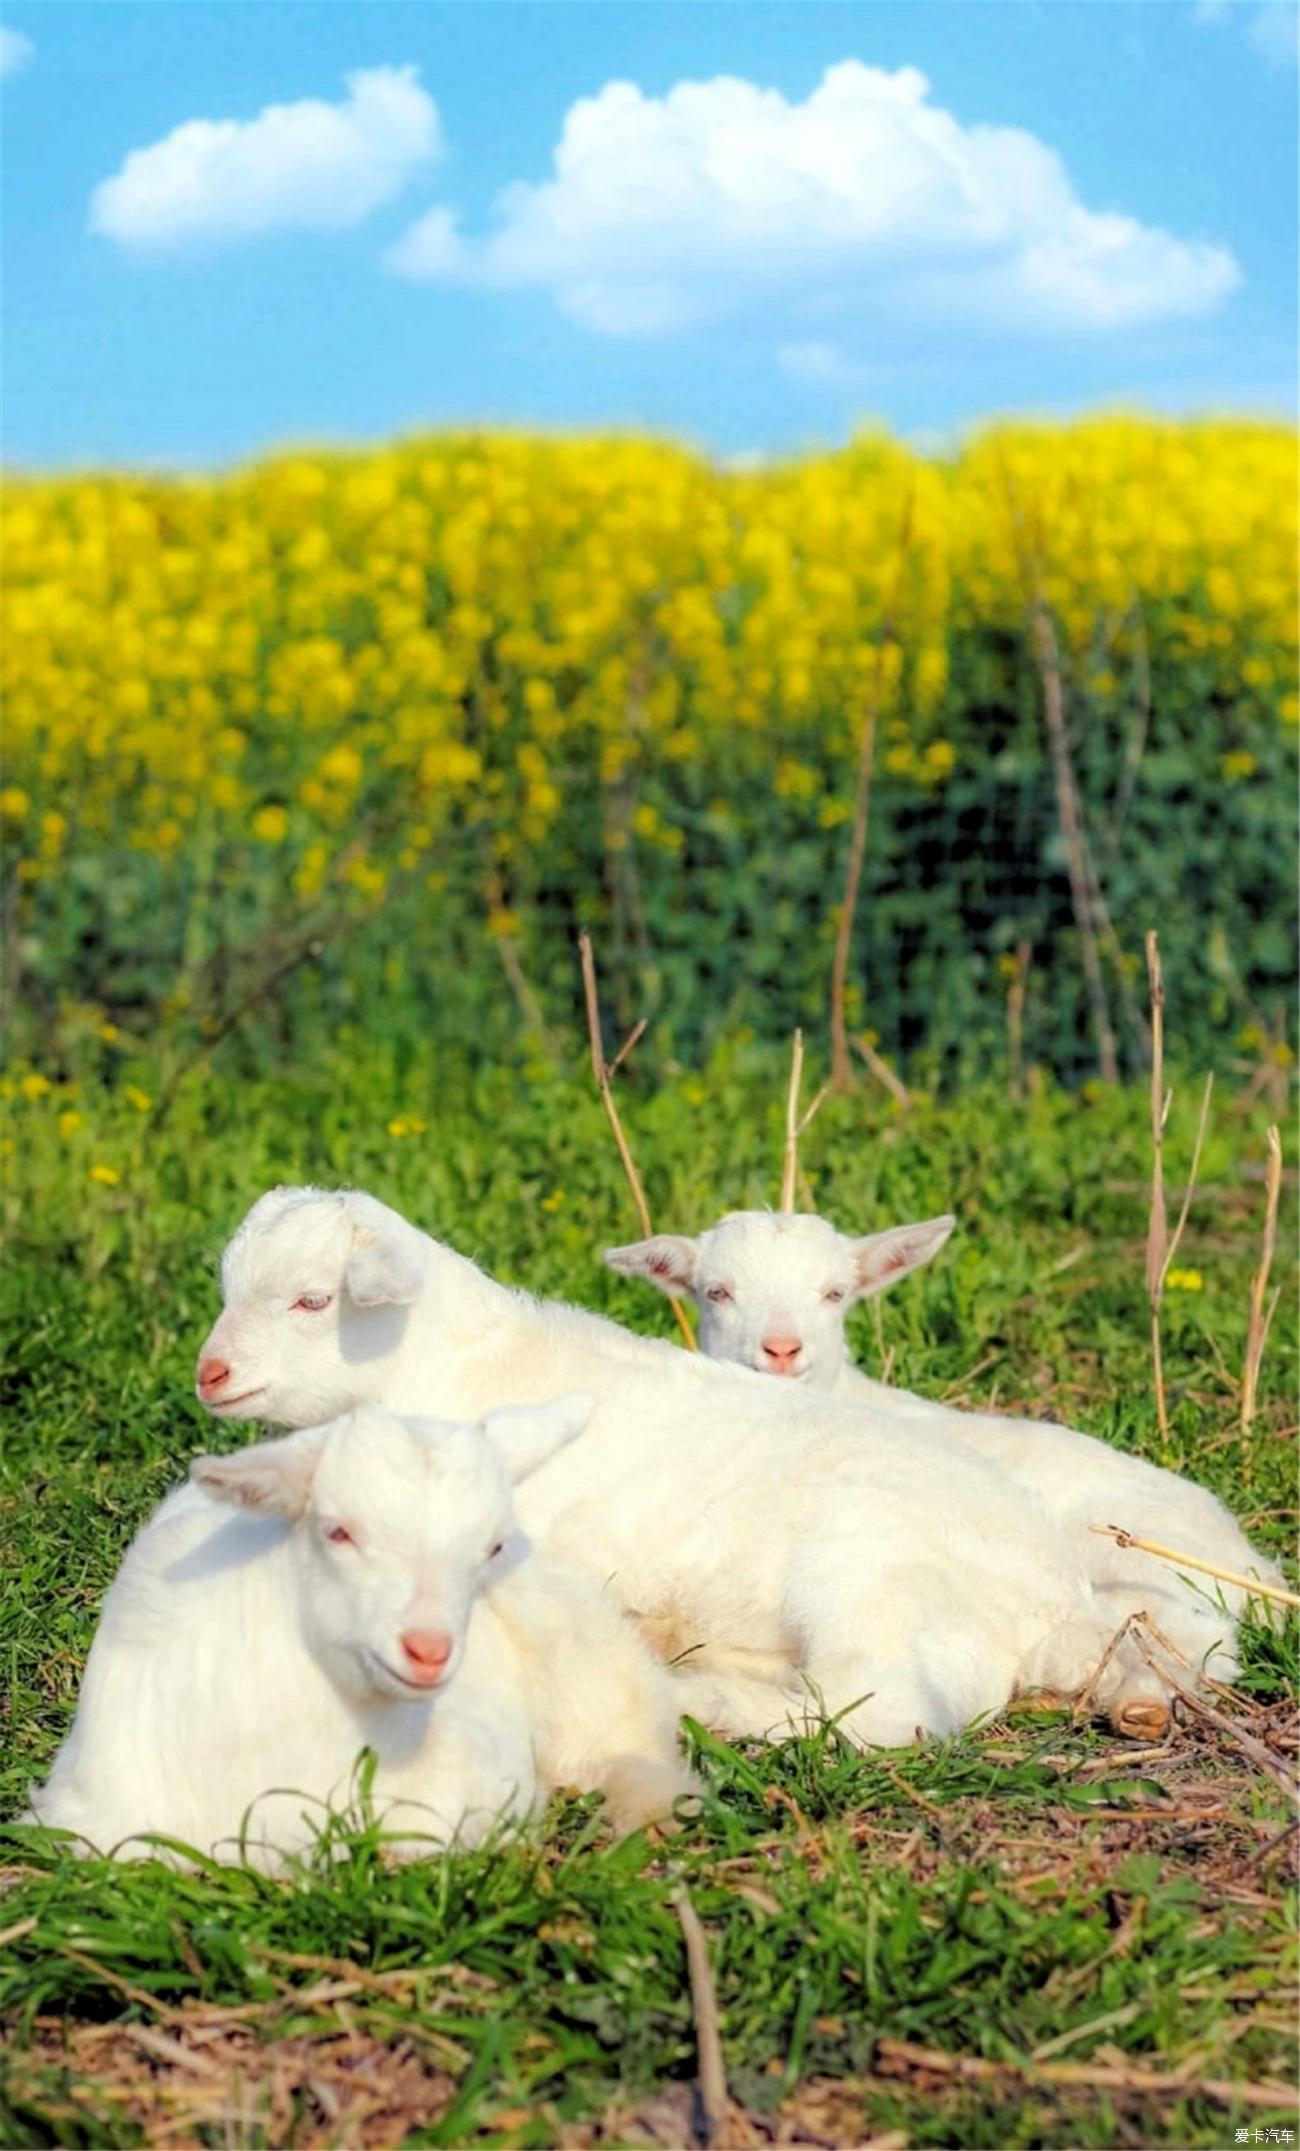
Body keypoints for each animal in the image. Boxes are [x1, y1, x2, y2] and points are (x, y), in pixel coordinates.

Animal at [602, 1213, 1282, 1729]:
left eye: (835, 1293)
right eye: (716, 1292)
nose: (782, 1349)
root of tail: (1255, 1563)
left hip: (1142, 1566)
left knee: (1192, 1644)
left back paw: (1138, 1706)